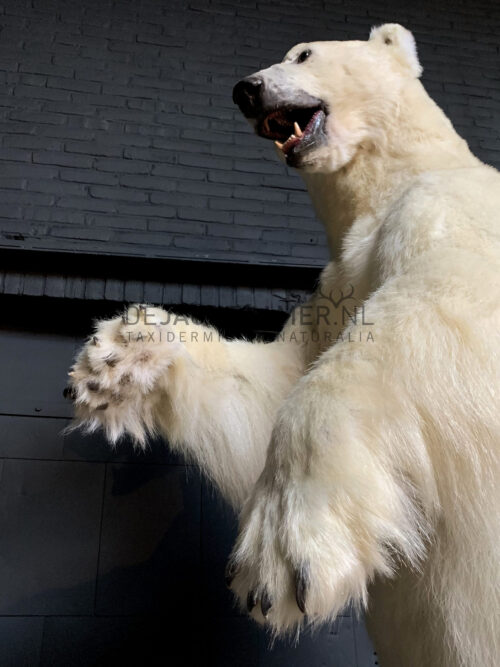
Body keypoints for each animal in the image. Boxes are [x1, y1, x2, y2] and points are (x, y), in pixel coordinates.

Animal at [67, 23, 500, 667]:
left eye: (303, 53)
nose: (246, 89)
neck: (386, 180)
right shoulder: (334, 285)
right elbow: (267, 393)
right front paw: (119, 355)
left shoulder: (458, 204)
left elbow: (446, 299)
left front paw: (278, 555)